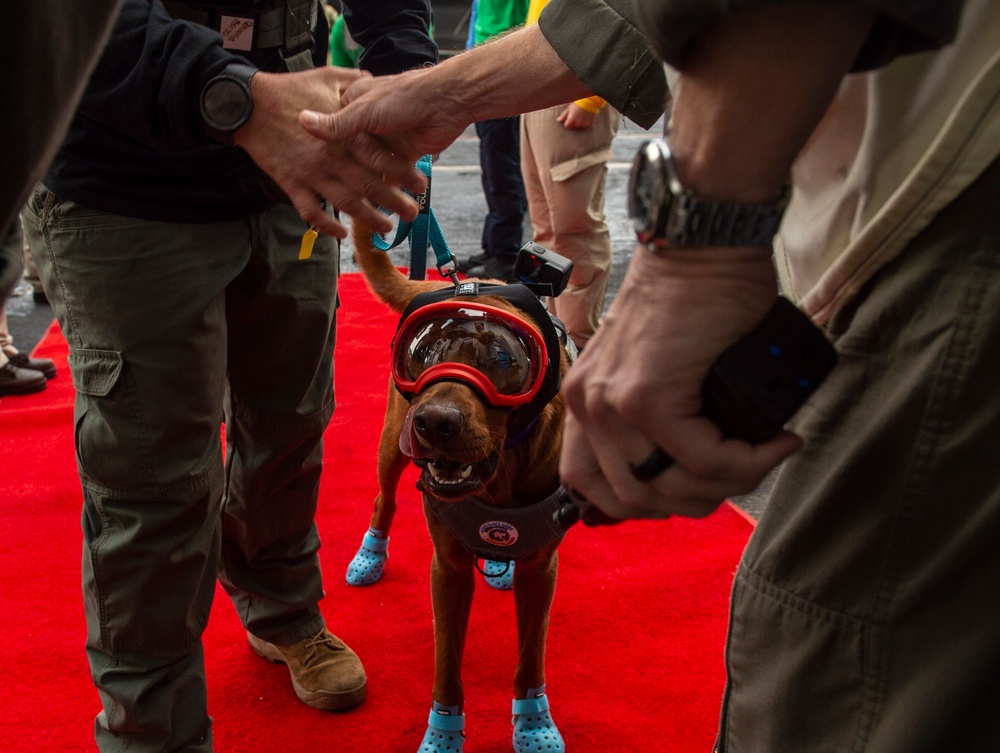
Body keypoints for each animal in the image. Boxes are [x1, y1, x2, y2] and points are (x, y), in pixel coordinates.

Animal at [350, 223, 572, 752]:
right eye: (426, 353)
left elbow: (530, 656)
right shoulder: (448, 570)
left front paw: (534, 722)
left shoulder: (542, 570)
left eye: (503, 359)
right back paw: (369, 555)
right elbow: (447, 666)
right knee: (384, 498)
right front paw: (444, 732)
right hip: (392, 445)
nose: (435, 422)